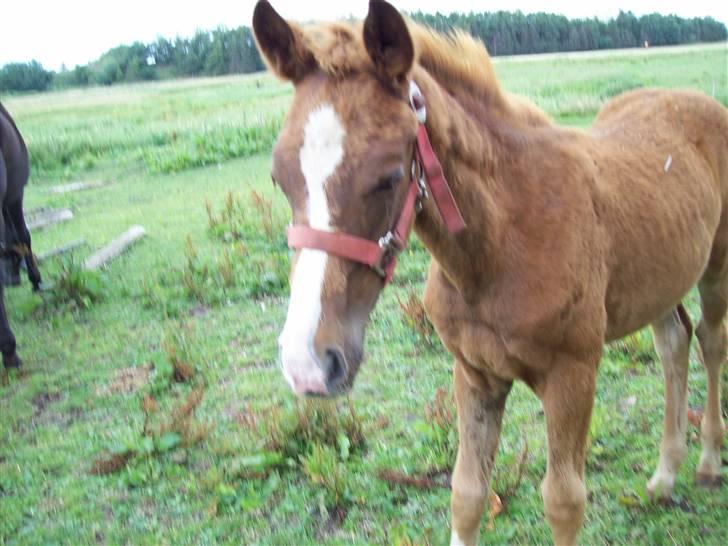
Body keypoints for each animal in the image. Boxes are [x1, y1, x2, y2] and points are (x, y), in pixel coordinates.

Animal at [252, 2, 728, 540]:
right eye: (279, 177)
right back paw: (665, 476)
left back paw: (709, 462)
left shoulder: (573, 375)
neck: (500, 246)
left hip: (715, 266)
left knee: (710, 340)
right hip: (659, 276)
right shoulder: (474, 372)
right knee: (673, 341)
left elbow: (563, 501)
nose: (307, 364)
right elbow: (467, 493)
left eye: (390, 176)